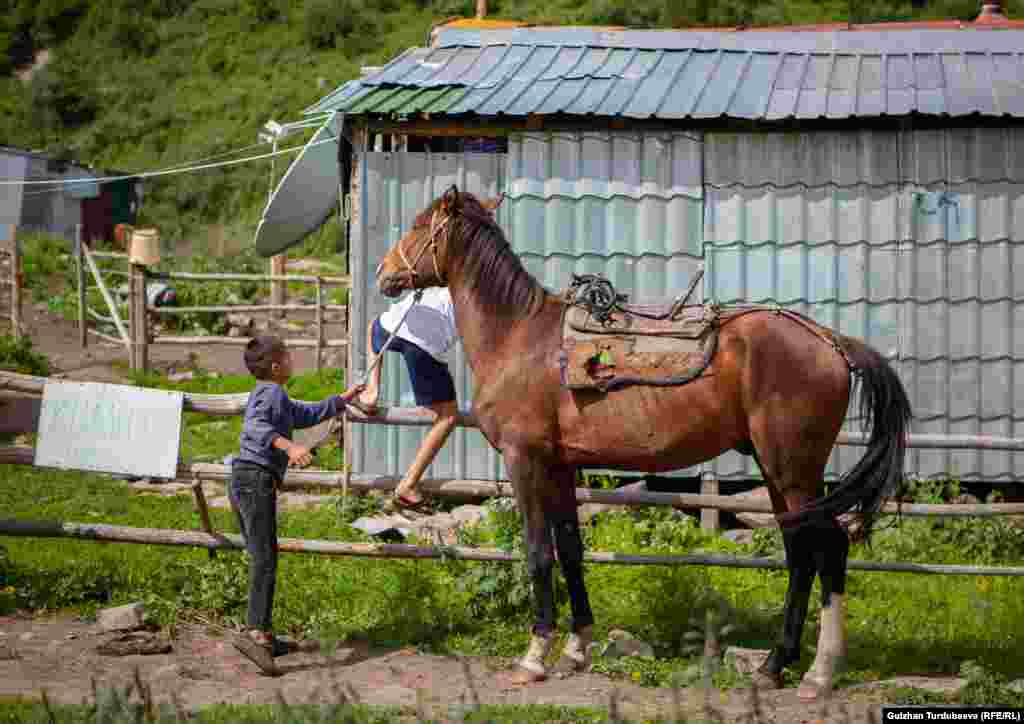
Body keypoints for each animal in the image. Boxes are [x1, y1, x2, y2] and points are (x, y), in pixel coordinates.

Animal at [376, 185, 913, 700]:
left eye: (420, 225)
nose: (384, 273)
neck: (520, 338)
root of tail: (831, 342)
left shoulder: (524, 461)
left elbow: (538, 552)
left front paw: (534, 657)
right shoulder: (561, 467)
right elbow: (571, 549)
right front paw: (576, 648)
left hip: (793, 470)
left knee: (829, 548)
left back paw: (819, 673)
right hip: (777, 471)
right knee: (800, 552)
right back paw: (772, 666)